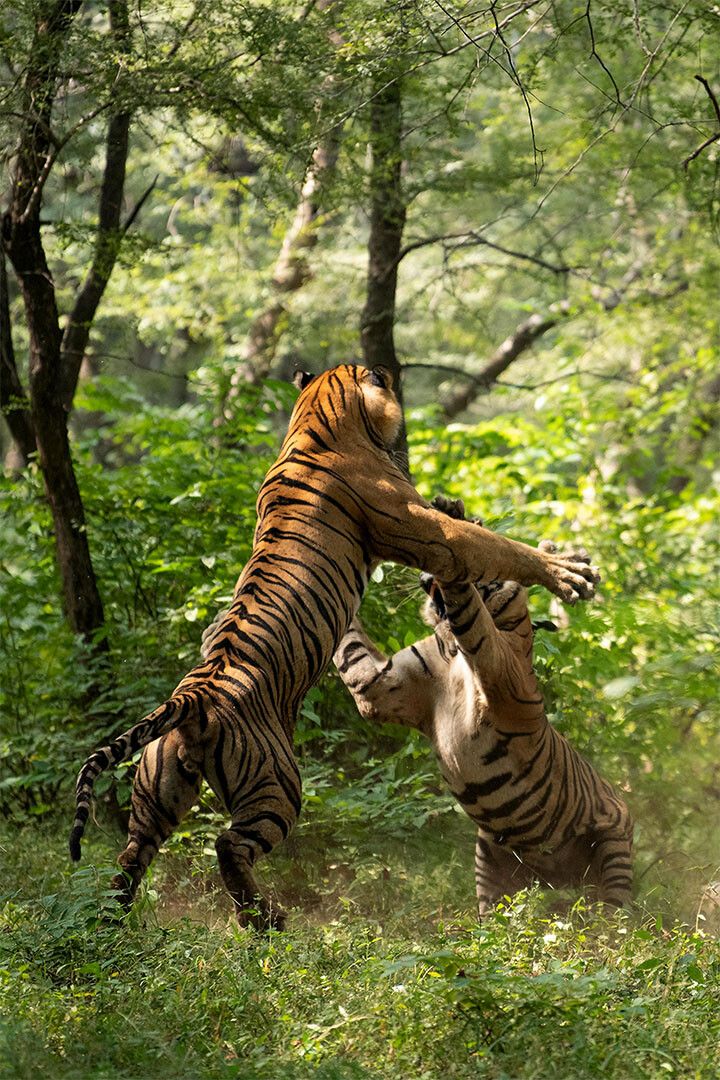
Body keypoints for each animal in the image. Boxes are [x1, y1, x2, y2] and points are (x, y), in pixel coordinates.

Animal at [69, 365, 600, 929]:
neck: (317, 421)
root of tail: (193, 699)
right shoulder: (430, 533)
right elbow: (500, 547)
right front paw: (569, 571)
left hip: (157, 790)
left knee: (131, 856)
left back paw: (115, 921)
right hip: (277, 784)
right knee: (228, 846)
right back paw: (266, 919)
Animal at [334, 494, 633, 917]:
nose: (424, 576)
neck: (450, 649)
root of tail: (559, 878)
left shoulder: (496, 662)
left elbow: (468, 605)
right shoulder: (379, 686)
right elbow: (349, 647)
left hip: (614, 843)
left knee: (618, 911)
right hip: (488, 860)